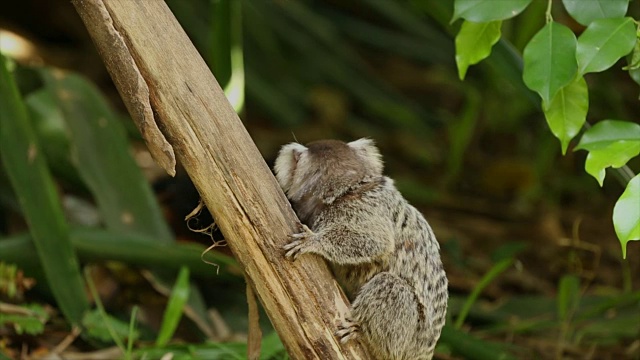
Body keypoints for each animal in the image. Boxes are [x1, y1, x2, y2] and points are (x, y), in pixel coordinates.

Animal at [276, 139, 450, 360]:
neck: (345, 190)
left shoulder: (357, 208)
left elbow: (377, 242)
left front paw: (314, 241)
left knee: (391, 284)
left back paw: (362, 332)